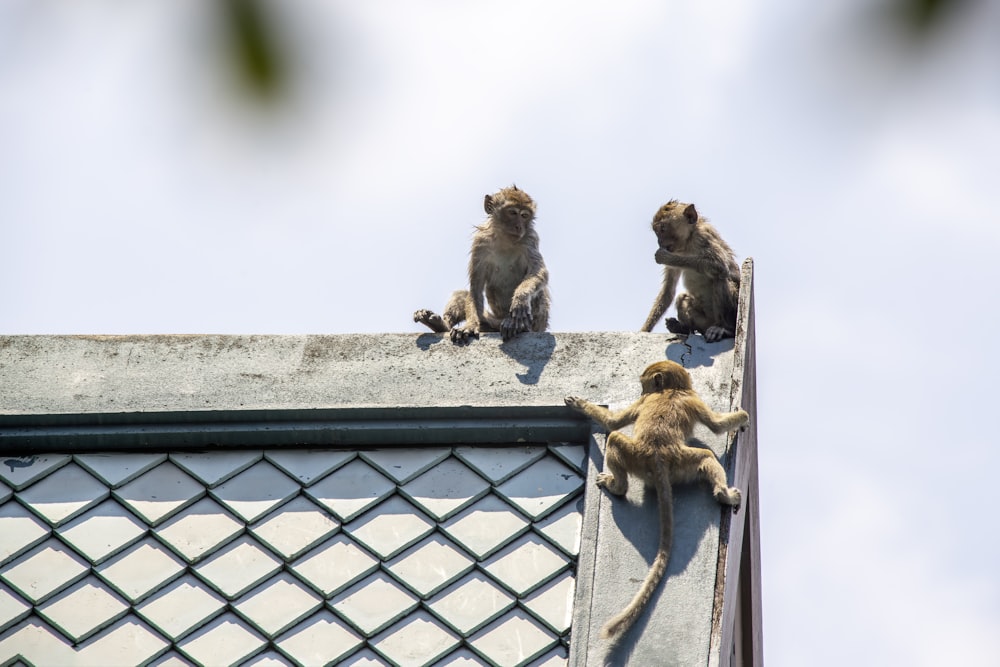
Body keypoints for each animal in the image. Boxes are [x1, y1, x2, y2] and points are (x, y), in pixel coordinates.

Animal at [416, 187, 556, 344]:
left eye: (525, 215)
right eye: (513, 213)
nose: (519, 226)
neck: (505, 240)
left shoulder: (530, 238)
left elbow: (539, 273)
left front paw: (520, 298)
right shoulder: (480, 243)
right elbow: (475, 287)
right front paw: (469, 326)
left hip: (537, 321)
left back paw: (519, 325)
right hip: (492, 321)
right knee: (463, 295)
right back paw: (439, 324)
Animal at [568, 362, 748, 644]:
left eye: (644, 385)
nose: (642, 389)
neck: (672, 389)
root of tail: (658, 456)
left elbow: (613, 423)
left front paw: (578, 404)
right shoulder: (690, 398)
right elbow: (716, 425)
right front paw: (743, 418)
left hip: (645, 458)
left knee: (616, 438)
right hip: (678, 461)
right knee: (704, 456)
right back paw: (723, 493)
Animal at [640, 201, 744, 342]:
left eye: (662, 229)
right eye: (657, 231)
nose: (659, 242)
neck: (687, 243)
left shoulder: (704, 237)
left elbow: (720, 265)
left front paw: (666, 257)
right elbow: (668, 291)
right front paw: (644, 330)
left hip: (734, 311)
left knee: (719, 278)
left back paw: (724, 328)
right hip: (704, 322)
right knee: (681, 298)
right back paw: (681, 328)